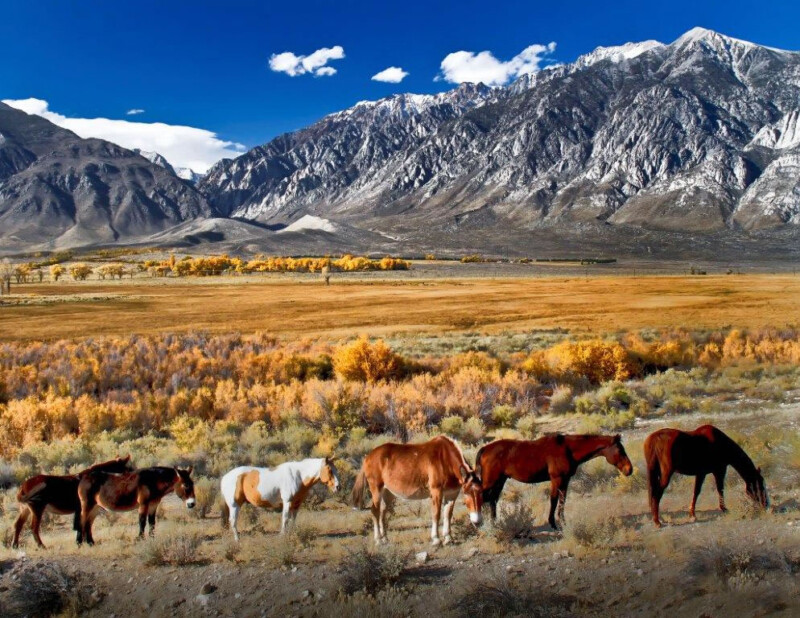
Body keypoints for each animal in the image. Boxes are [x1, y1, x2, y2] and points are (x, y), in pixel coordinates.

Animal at [348, 434, 482, 544]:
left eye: (481, 492)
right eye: (467, 493)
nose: (477, 521)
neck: (445, 458)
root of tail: (368, 456)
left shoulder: (452, 494)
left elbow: (448, 514)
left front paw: (448, 538)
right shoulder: (436, 491)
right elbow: (436, 514)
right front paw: (436, 539)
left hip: (388, 493)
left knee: (382, 512)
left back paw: (385, 539)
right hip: (376, 489)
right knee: (375, 511)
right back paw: (378, 540)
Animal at [476, 430, 632, 528]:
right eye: (620, 450)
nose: (629, 470)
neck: (568, 449)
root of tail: (485, 449)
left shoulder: (565, 480)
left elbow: (562, 501)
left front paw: (562, 522)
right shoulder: (556, 479)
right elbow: (554, 500)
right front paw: (553, 524)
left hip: (499, 481)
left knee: (492, 500)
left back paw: (494, 523)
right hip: (491, 481)